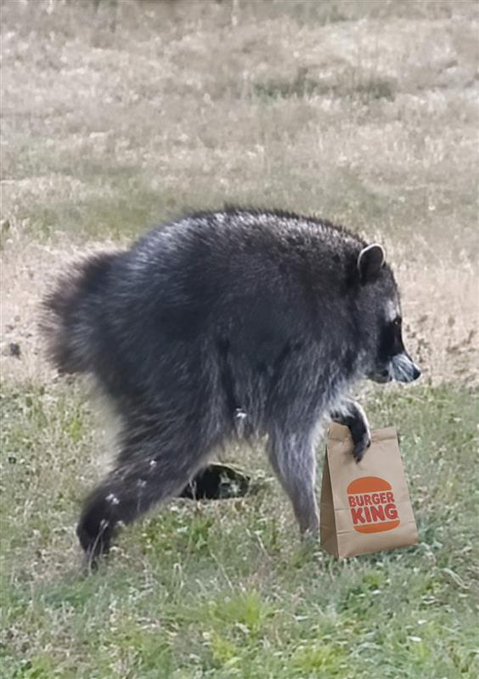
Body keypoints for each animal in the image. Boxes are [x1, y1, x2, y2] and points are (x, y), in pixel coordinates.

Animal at [41, 208, 420, 563]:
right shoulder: (312, 351)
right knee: (180, 442)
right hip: (169, 359)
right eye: (395, 324)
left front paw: (348, 410)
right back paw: (98, 523)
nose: (416, 372)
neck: (344, 294)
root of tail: (96, 305)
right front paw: (312, 530)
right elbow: (288, 442)